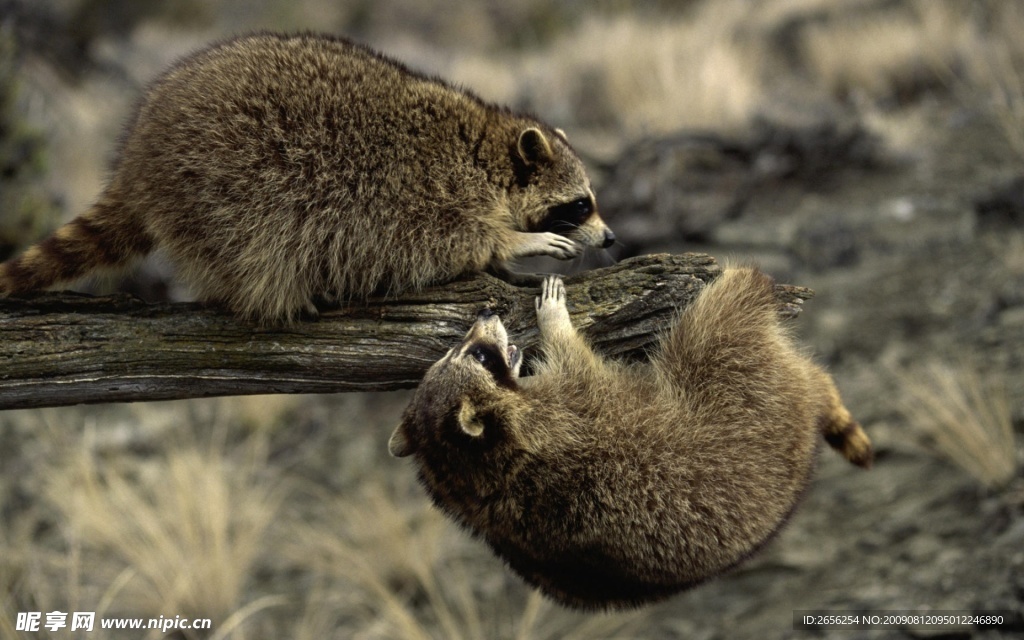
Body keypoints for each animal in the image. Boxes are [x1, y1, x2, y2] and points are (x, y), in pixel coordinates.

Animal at [0, 32, 614, 321]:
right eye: (581, 204)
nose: (610, 237)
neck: (486, 151)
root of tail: (138, 159)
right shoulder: (421, 194)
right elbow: (446, 241)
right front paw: (514, 242)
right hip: (220, 183)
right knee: (254, 244)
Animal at [387, 268, 868, 610]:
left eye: (469, 351)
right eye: (480, 356)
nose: (485, 316)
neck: (467, 471)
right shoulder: (569, 410)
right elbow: (575, 360)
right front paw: (555, 322)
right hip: (748, 394)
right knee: (714, 329)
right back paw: (742, 284)